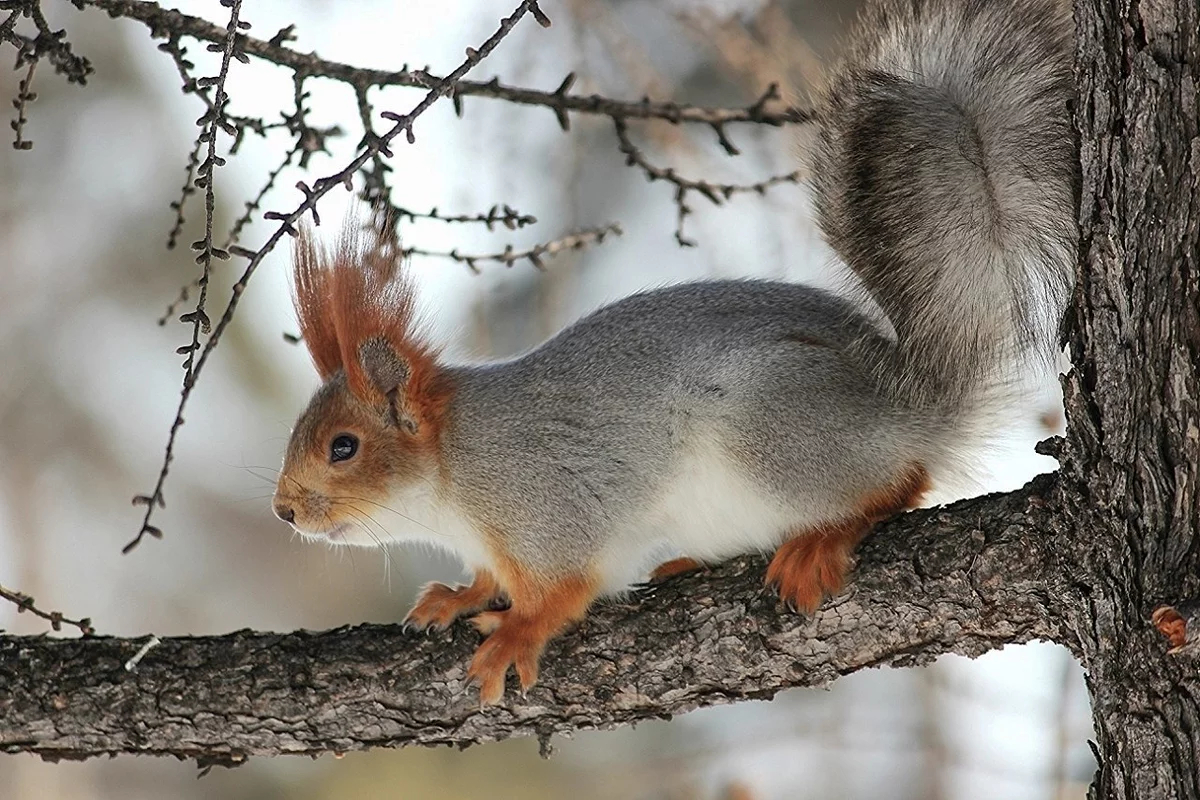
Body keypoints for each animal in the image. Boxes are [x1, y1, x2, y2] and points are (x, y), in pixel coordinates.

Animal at [272, 0, 1080, 705]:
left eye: (343, 447)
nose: (283, 511)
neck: (450, 478)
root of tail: (911, 410)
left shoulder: (548, 503)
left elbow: (563, 590)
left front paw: (516, 633)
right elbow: (485, 577)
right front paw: (459, 594)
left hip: (776, 430)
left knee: (901, 482)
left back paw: (823, 537)